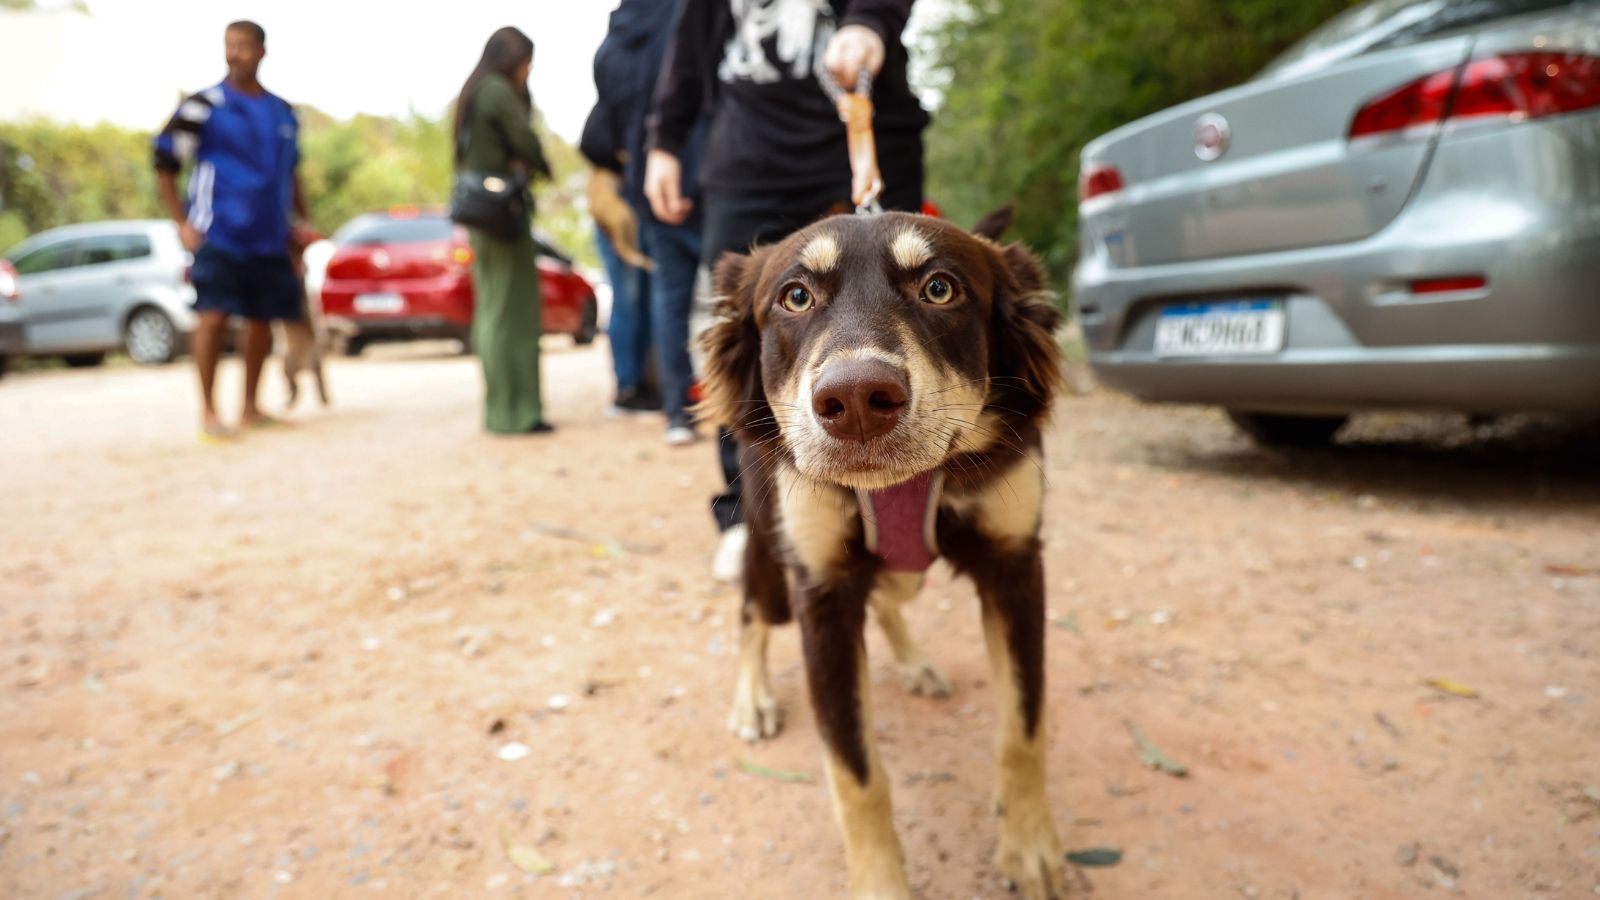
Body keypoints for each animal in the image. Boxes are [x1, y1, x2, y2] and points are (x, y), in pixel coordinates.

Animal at [697, 211, 1062, 896]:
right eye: (795, 297)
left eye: (940, 289)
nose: (858, 401)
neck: (905, 487)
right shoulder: (821, 596)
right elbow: (856, 775)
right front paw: (881, 882)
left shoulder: (1016, 567)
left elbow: (1024, 730)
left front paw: (1031, 849)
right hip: (769, 554)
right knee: (751, 614)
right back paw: (752, 698)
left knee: (891, 596)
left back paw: (915, 663)